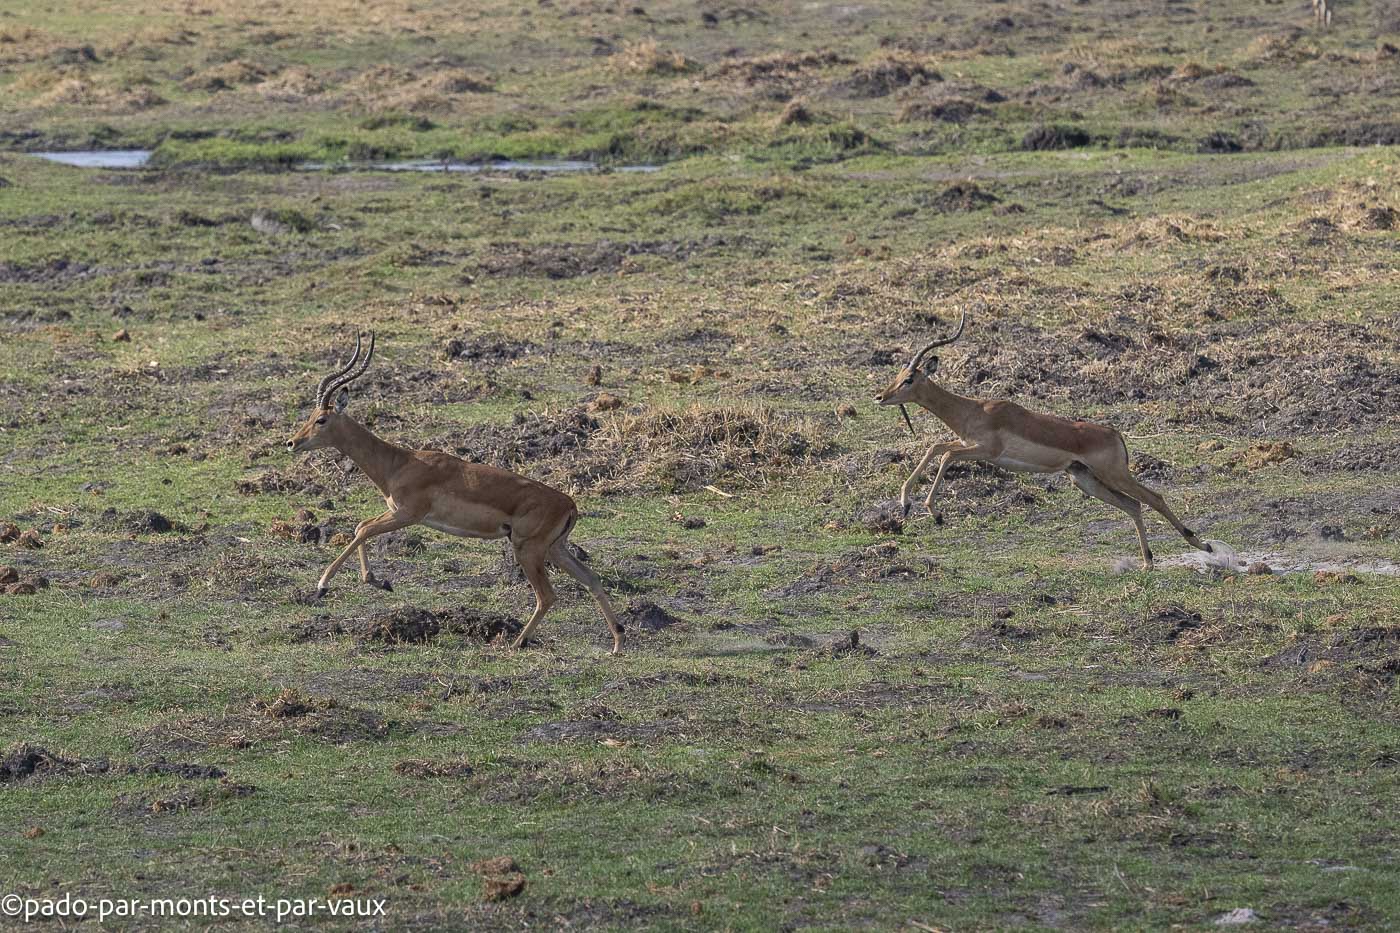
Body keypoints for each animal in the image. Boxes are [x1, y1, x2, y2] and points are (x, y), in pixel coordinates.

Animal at [286, 333, 625, 653]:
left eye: (321, 419)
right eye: (309, 416)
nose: (291, 443)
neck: (398, 463)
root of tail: (569, 504)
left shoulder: (408, 514)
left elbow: (364, 529)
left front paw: (324, 585)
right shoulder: (397, 512)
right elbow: (360, 526)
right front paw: (378, 581)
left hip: (528, 550)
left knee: (548, 595)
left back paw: (517, 643)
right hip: (556, 549)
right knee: (592, 579)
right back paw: (617, 644)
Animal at [873, 312, 1213, 570]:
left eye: (909, 379)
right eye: (898, 374)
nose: (880, 397)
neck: (973, 410)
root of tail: (1114, 433)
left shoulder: (985, 450)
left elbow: (943, 453)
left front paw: (935, 512)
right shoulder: (972, 446)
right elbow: (937, 447)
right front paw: (905, 506)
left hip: (1113, 474)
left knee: (1155, 498)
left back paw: (1203, 545)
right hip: (1085, 479)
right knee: (1133, 505)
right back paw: (1148, 562)